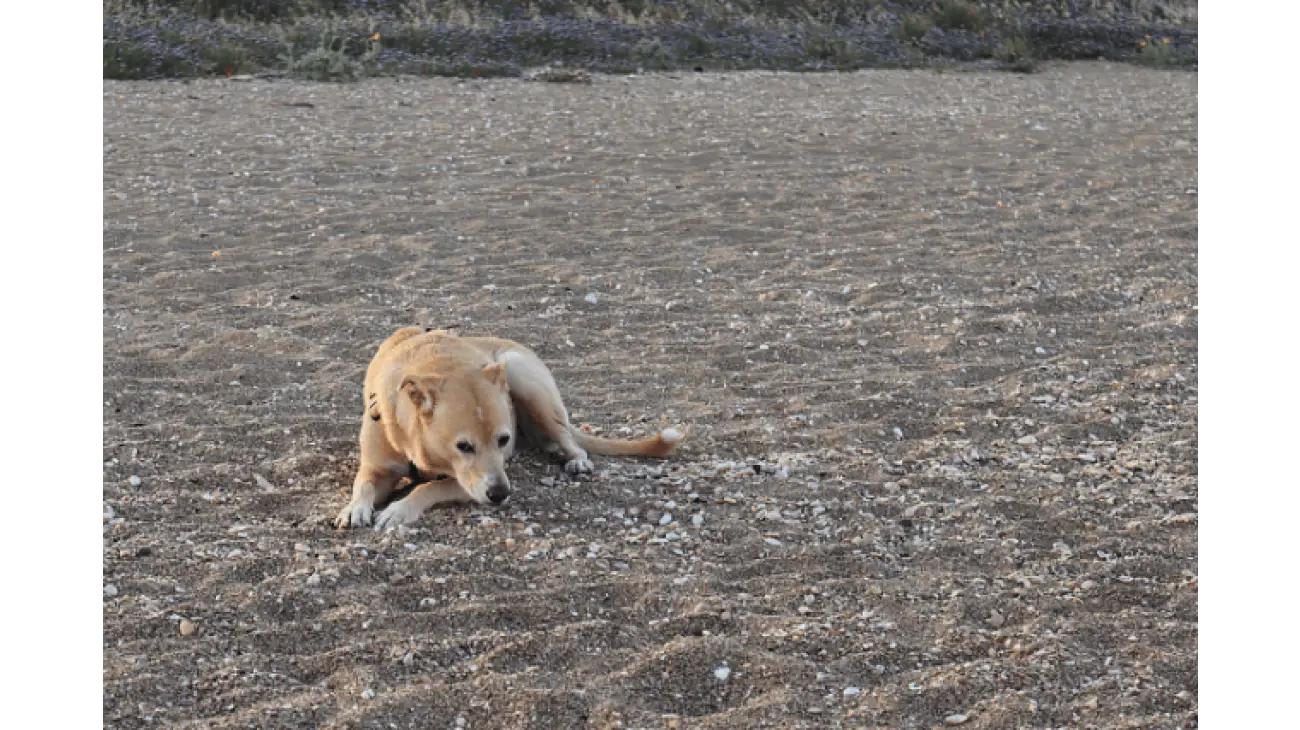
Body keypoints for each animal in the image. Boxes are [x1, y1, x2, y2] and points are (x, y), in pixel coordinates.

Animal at [332, 324, 681, 527]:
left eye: (503, 439)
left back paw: (574, 458)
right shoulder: (378, 467)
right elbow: (363, 484)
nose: (501, 495)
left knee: (568, 437)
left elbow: (428, 486)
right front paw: (354, 508)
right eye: (463, 446)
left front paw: (399, 509)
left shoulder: (468, 482)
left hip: (520, 374)